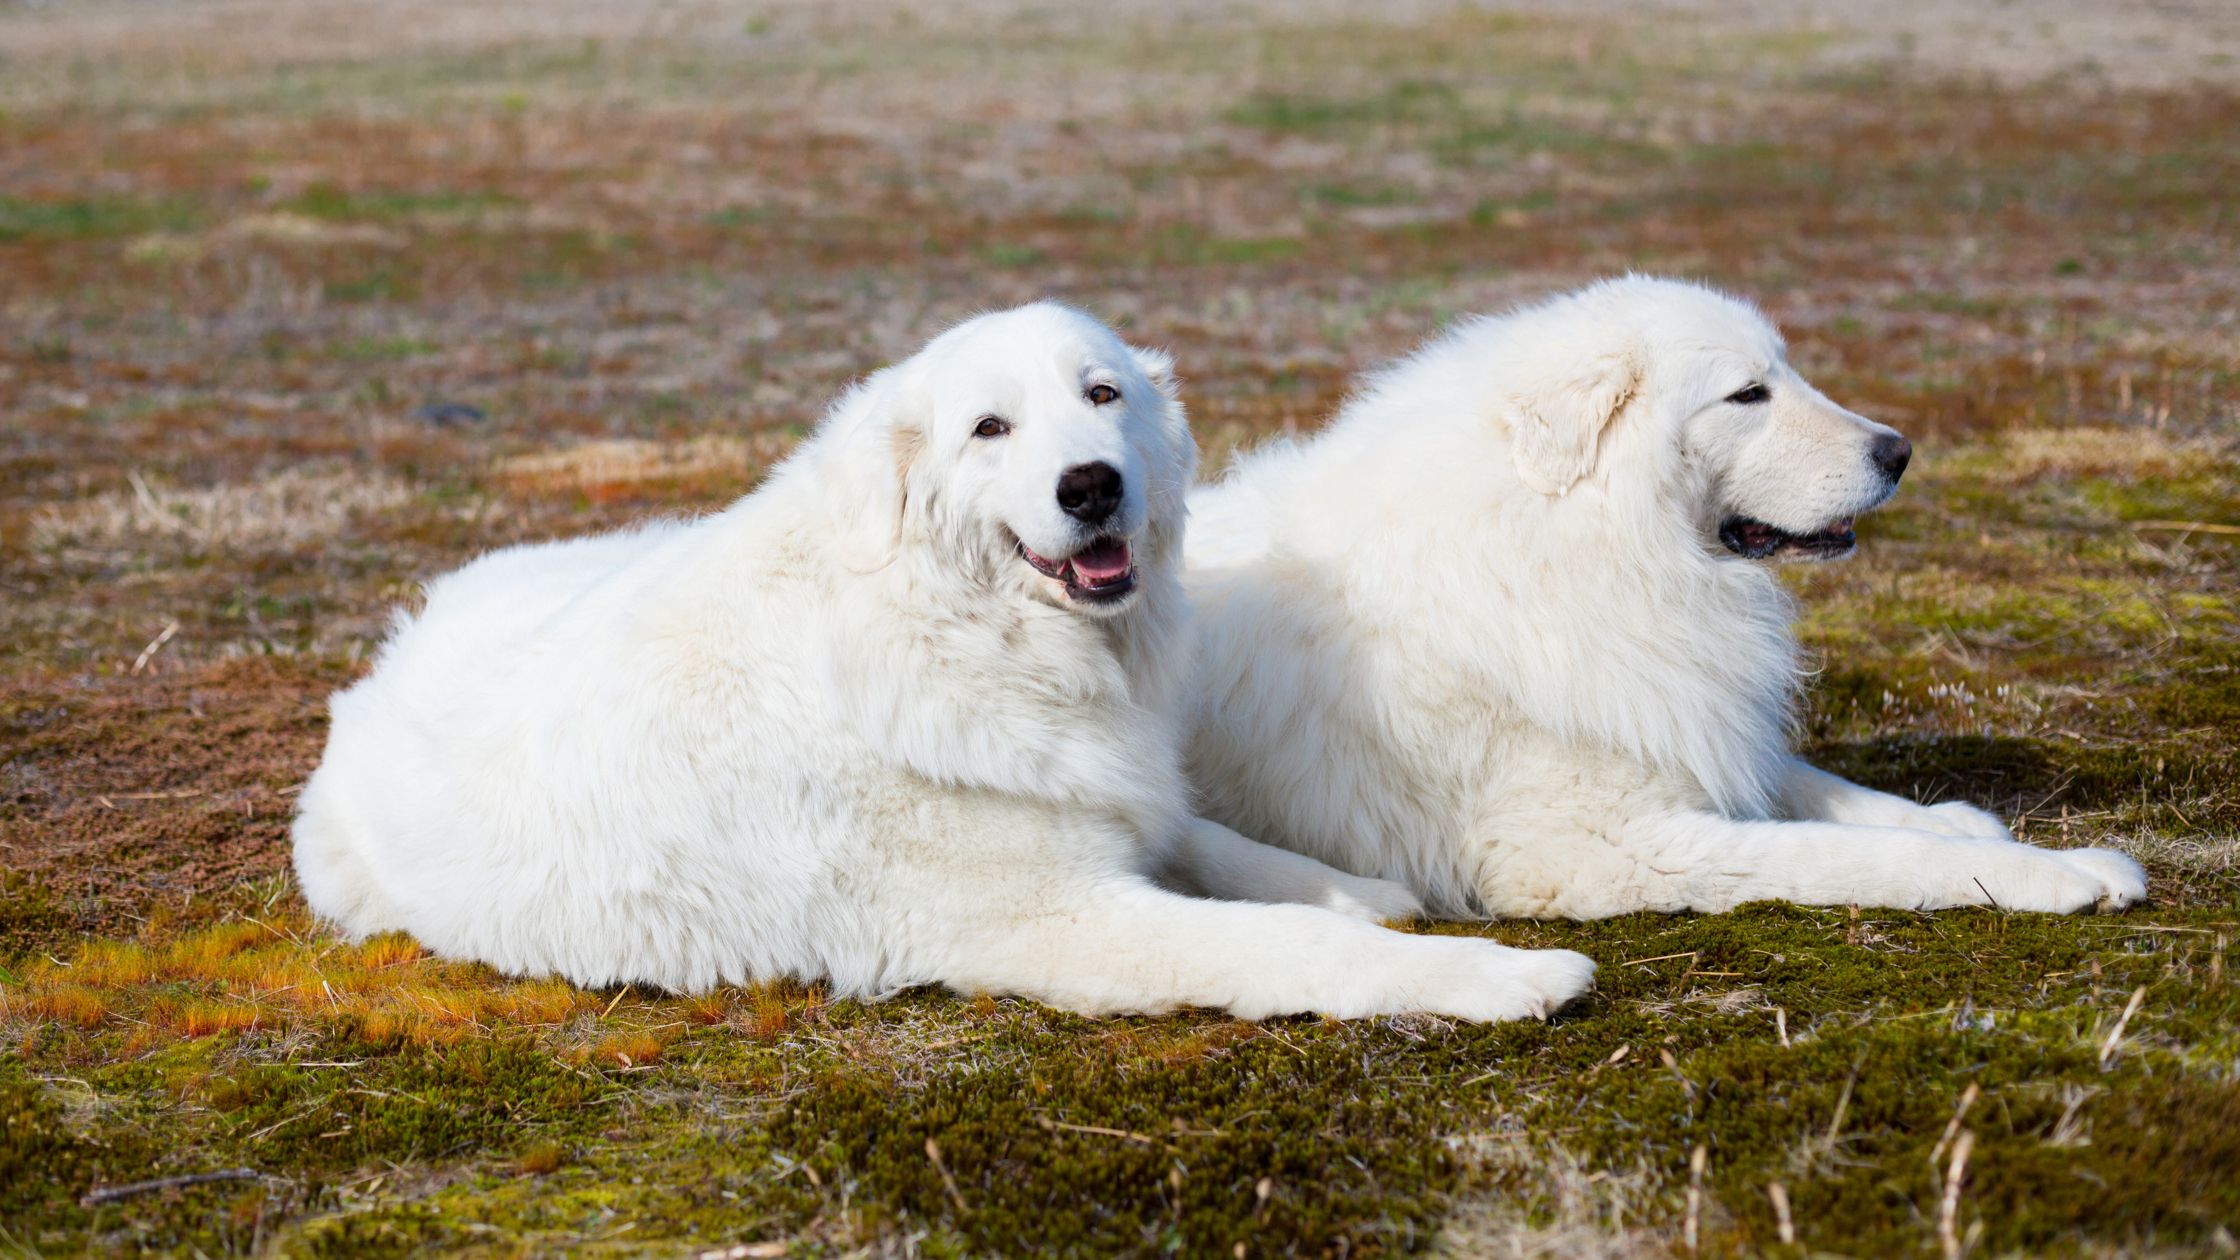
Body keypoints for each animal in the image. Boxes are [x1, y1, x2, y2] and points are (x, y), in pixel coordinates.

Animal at [293, 304, 1594, 1022]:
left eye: (1101, 394)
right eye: (989, 429)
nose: (1091, 486)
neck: (953, 629)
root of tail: (378, 669)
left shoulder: (1103, 797)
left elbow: (1217, 843)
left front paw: (1360, 891)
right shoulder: (1052, 920)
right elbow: (1281, 943)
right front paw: (1497, 978)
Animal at [1191, 279, 2150, 919]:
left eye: (1783, 374)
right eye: (1748, 394)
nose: (1900, 451)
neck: (1577, 544)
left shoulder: (1679, 717)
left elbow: (1832, 793)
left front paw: (1966, 825)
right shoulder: (1607, 846)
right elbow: (1855, 854)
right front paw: (2058, 873)